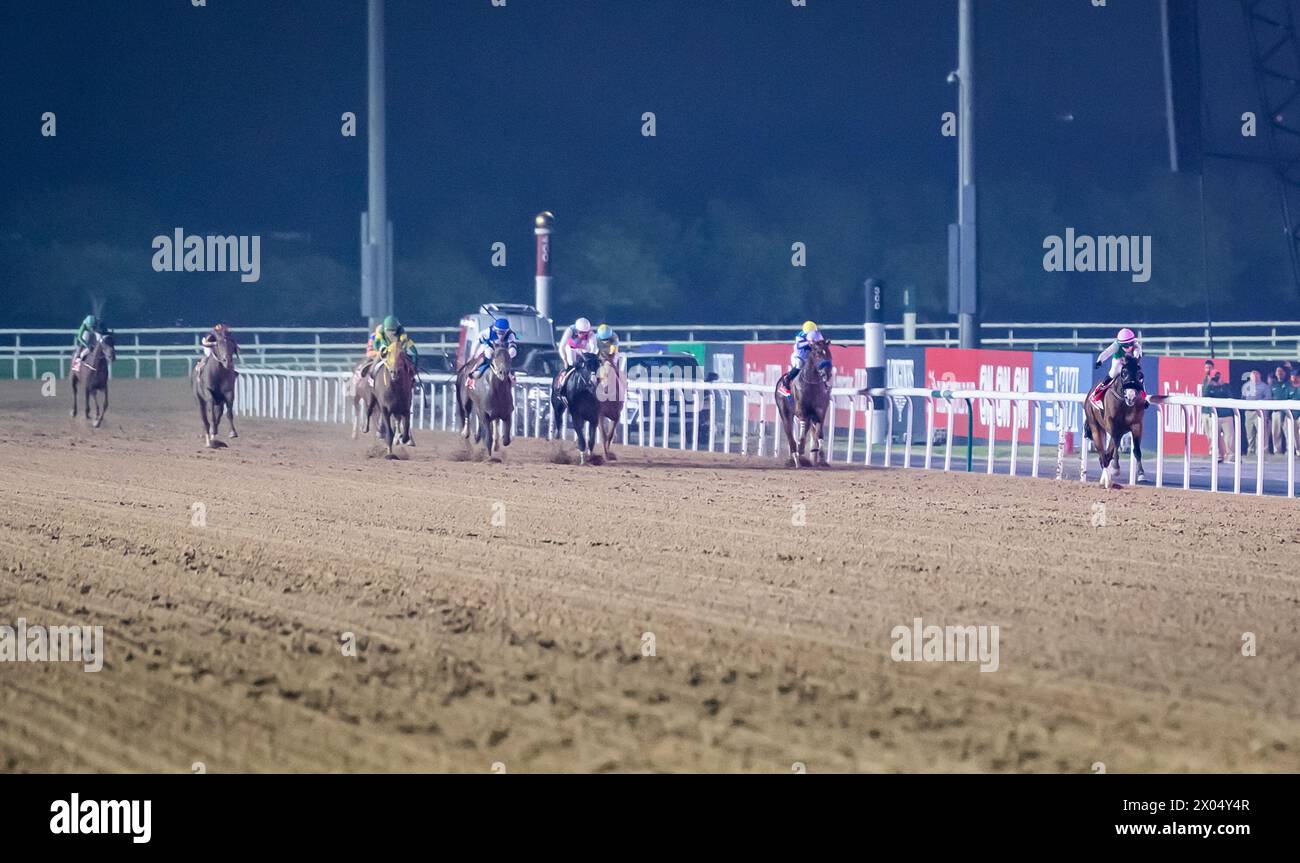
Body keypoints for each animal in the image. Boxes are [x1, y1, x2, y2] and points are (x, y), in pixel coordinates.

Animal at [769, 337, 832, 467]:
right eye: (818, 354)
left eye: (829, 353)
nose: (827, 373)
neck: (812, 385)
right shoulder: (801, 410)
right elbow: (803, 427)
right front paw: (801, 448)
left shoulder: (820, 411)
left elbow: (819, 432)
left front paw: (822, 458)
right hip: (784, 412)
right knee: (789, 434)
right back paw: (796, 459)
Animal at [1076, 350, 1149, 486]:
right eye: (1124, 373)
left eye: (1140, 374)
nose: (1131, 396)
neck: (1124, 403)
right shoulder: (1111, 424)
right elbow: (1114, 444)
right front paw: (1115, 468)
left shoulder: (1136, 425)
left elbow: (1136, 450)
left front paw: (1141, 474)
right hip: (1095, 427)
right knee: (1102, 454)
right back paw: (1106, 477)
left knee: (1107, 454)